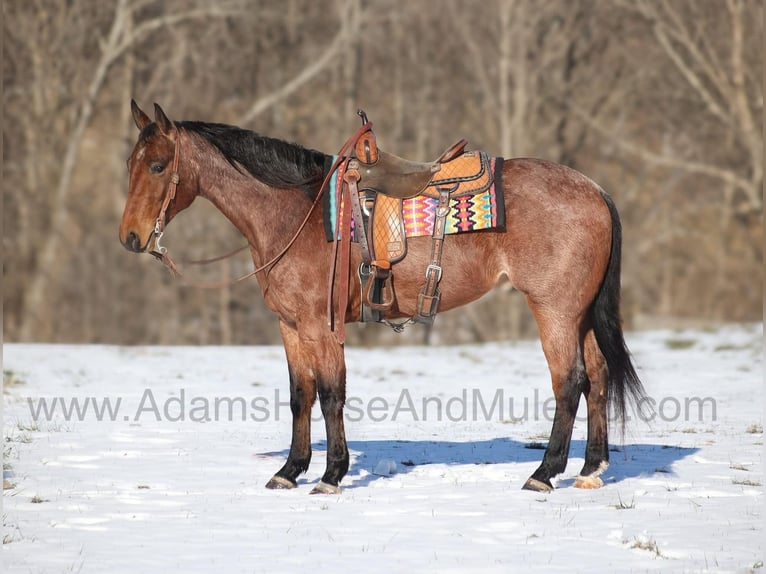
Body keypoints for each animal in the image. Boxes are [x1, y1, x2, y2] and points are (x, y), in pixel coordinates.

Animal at [119, 101, 647, 494]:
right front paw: (289, 471)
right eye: (130, 165)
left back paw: (544, 473)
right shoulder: (290, 326)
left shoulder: (321, 326)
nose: (130, 237)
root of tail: (595, 190)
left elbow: (330, 395)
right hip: (579, 314)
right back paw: (590, 470)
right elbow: (299, 395)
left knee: (570, 383)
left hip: (554, 311)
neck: (295, 214)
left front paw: (331, 474)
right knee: (598, 379)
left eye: (158, 165)